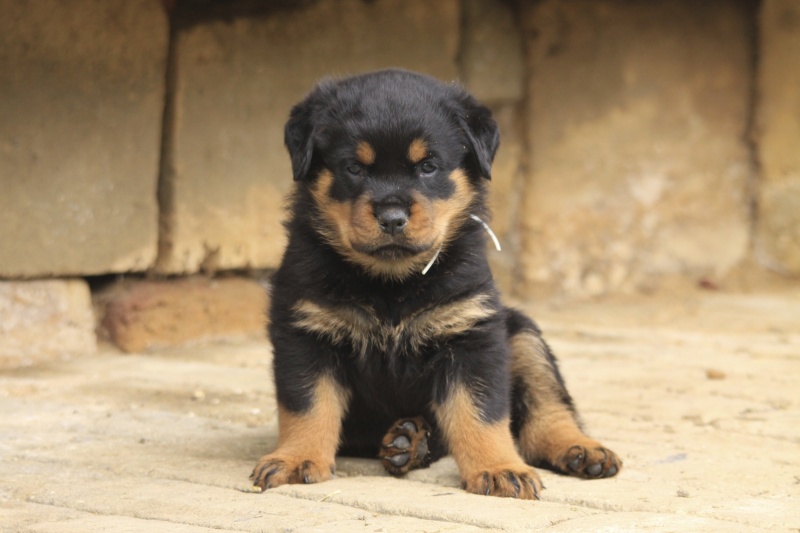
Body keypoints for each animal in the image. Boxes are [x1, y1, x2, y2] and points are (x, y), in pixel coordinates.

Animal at [250, 68, 620, 496]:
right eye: (354, 168)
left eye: (428, 166)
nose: (392, 217)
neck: (392, 284)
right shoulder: (306, 332)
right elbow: (307, 406)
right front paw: (295, 459)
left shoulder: (471, 333)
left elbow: (481, 412)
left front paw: (497, 468)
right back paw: (409, 439)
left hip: (522, 334)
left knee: (547, 406)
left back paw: (580, 449)